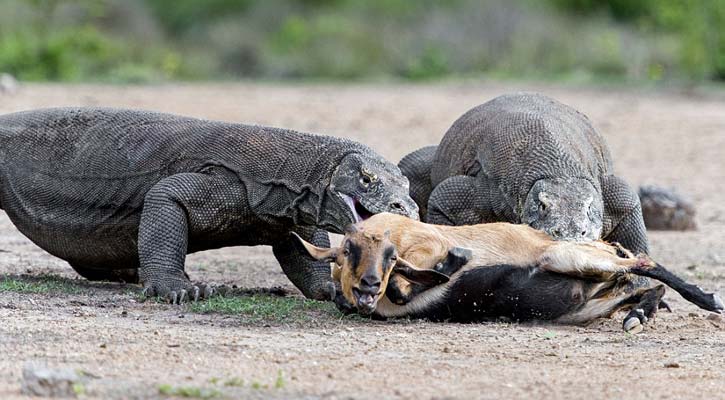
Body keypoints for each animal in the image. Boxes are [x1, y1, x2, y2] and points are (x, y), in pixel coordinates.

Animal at [292, 214, 720, 332]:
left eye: (390, 254)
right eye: (348, 250)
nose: (368, 286)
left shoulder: (424, 244)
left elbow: (406, 283)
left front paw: (455, 260)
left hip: (563, 256)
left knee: (644, 264)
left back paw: (708, 300)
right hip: (587, 300)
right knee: (636, 284)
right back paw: (639, 315)